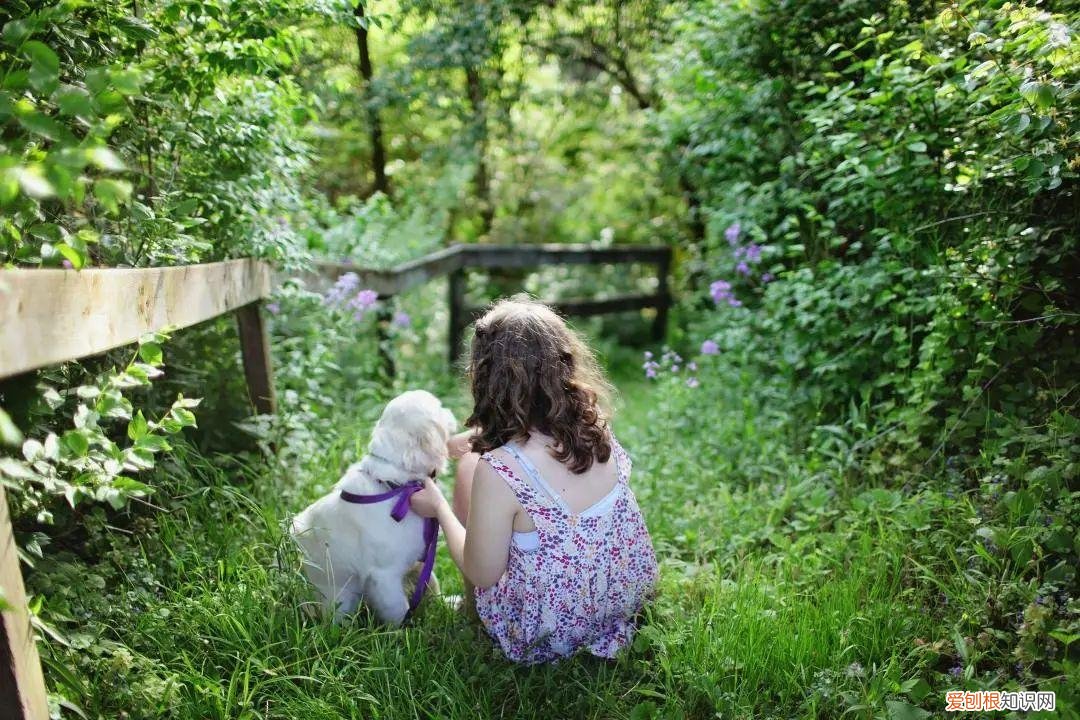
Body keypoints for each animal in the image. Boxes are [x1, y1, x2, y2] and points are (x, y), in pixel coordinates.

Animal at [291, 390, 455, 621]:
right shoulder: (384, 575)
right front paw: (407, 628)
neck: (395, 486)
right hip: (339, 597)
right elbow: (398, 609)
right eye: (439, 408)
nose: (451, 411)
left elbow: (431, 582)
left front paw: (447, 604)